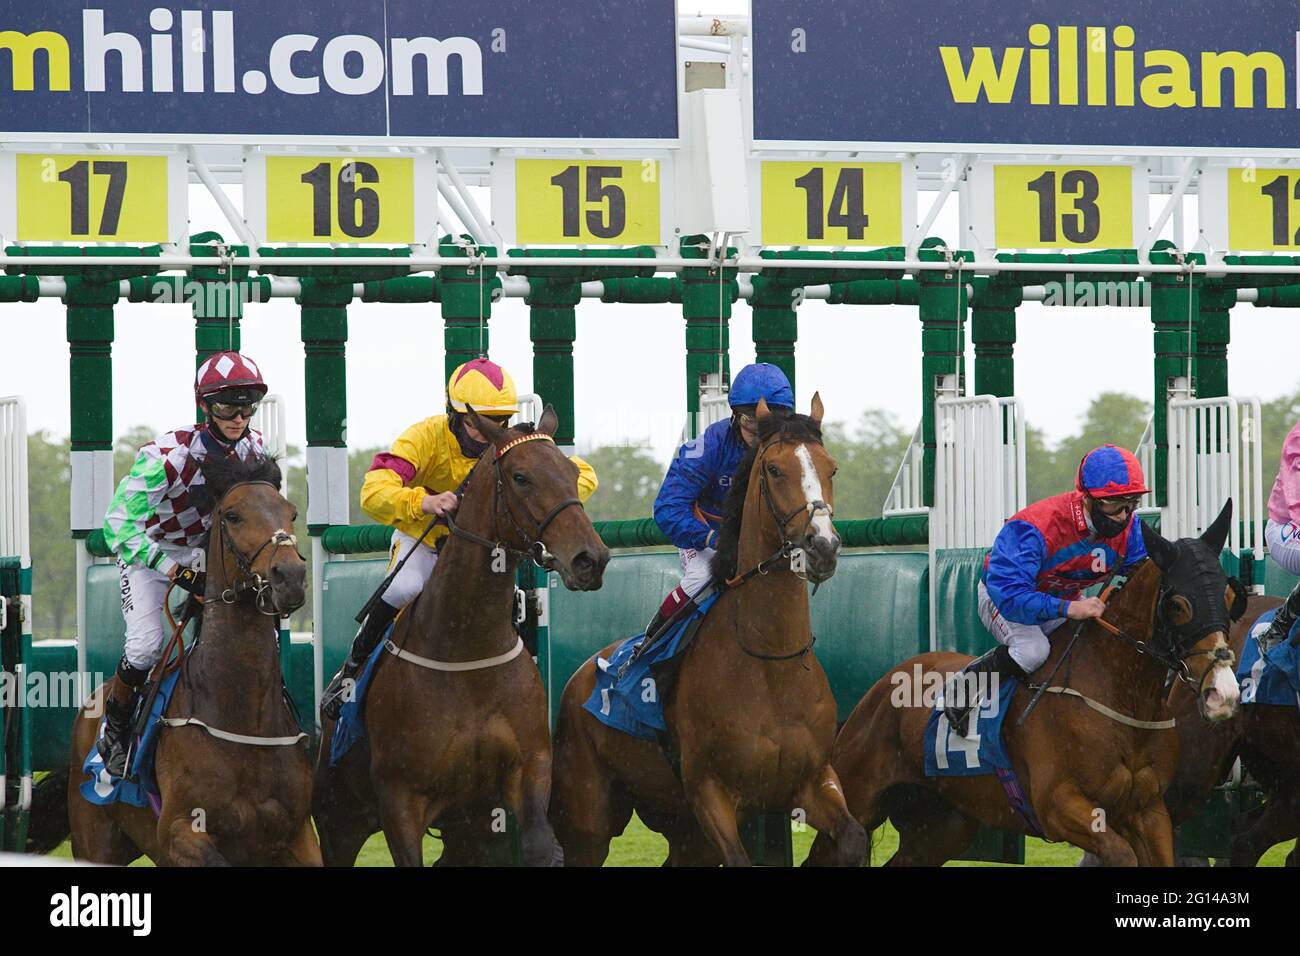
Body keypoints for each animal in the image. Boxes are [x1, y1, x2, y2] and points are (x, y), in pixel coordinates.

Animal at [65, 455, 317, 868]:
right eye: (233, 515)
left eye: (291, 512)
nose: (290, 577)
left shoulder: (298, 834)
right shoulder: (179, 831)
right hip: (94, 841)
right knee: (141, 648)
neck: (244, 716)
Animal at [312, 408, 605, 868]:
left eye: (573, 473)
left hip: (467, 831)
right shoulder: (400, 800)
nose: (590, 559)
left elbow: (541, 844)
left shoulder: (527, 771)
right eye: (521, 477)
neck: (467, 650)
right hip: (339, 817)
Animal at [551, 395, 873, 868]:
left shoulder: (812, 780)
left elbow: (853, 836)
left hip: (679, 824)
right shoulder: (709, 792)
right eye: (774, 469)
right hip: (588, 818)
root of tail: (584, 672)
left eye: (830, 468)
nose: (823, 547)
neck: (768, 662)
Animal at [806, 504, 1242, 868]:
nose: (1223, 693)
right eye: (1179, 604)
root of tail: (879, 689)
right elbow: (1119, 854)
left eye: (1229, 595)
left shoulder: (1149, 811)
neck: (1119, 695)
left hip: (942, 825)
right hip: (856, 801)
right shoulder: (1059, 807)